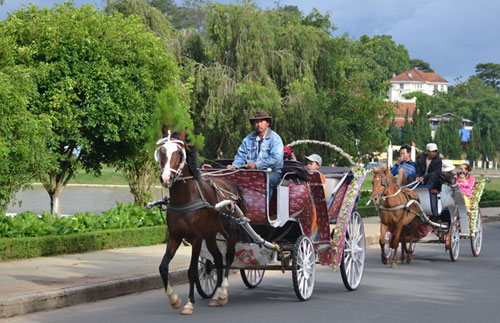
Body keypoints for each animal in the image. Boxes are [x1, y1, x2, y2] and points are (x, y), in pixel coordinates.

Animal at [154, 128, 244, 316]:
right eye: (162, 152)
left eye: (179, 153)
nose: (165, 178)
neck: (185, 198)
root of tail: (230, 184)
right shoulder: (175, 236)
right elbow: (163, 267)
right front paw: (173, 299)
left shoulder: (196, 238)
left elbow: (192, 271)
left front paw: (189, 303)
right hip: (210, 235)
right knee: (217, 259)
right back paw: (215, 295)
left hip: (230, 230)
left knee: (228, 257)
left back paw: (223, 292)